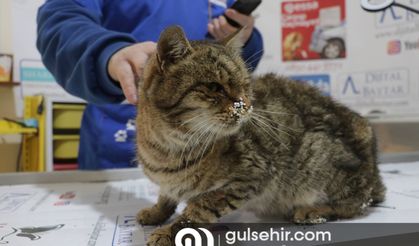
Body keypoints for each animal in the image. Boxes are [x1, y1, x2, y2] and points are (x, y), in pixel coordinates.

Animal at [136, 25, 386, 244]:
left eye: (246, 86)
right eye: (215, 87)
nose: (244, 106)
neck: (167, 148)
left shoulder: (250, 176)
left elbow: (198, 209)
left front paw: (169, 231)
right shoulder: (168, 182)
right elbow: (166, 195)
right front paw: (156, 212)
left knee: (357, 203)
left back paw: (313, 210)